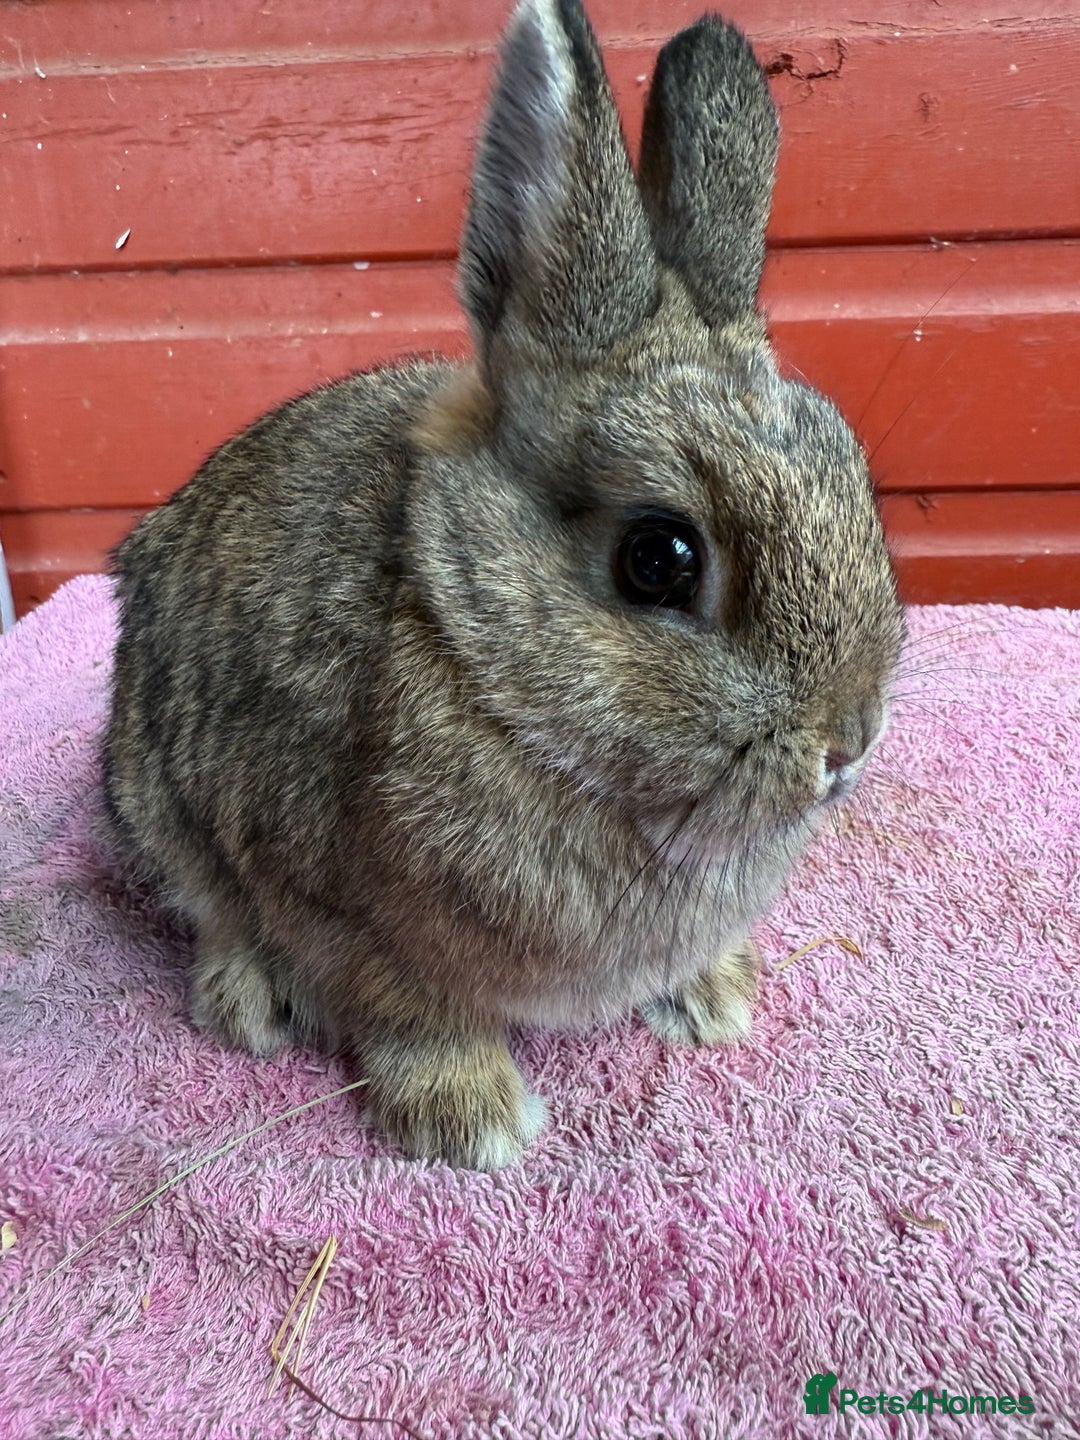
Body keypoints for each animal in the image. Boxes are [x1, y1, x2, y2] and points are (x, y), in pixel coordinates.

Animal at [103, 0, 904, 1169]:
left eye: (851, 468)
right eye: (660, 558)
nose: (847, 743)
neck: (476, 661)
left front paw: (715, 997)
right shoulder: (340, 917)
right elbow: (407, 1010)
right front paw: (468, 1118)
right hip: (152, 793)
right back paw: (248, 999)